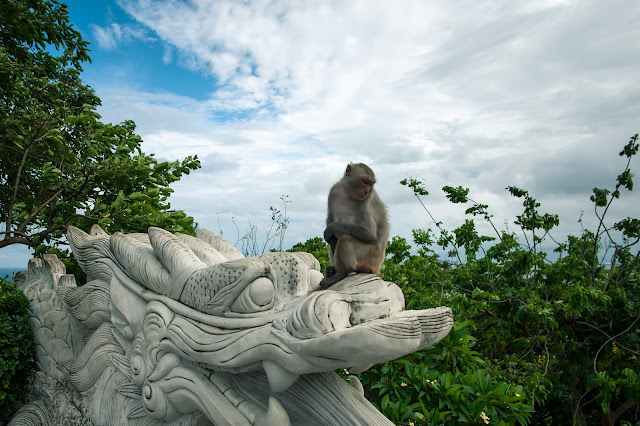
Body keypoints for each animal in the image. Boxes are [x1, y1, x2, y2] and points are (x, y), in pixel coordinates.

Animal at [320, 162, 390, 290]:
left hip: (370, 256)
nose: (367, 191)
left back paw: (341, 274)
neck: (349, 193)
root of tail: (378, 268)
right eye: (365, 182)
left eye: (371, 184)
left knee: (345, 239)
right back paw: (331, 272)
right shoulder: (334, 190)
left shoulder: (366, 202)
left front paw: (332, 228)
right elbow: (330, 216)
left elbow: (368, 233)